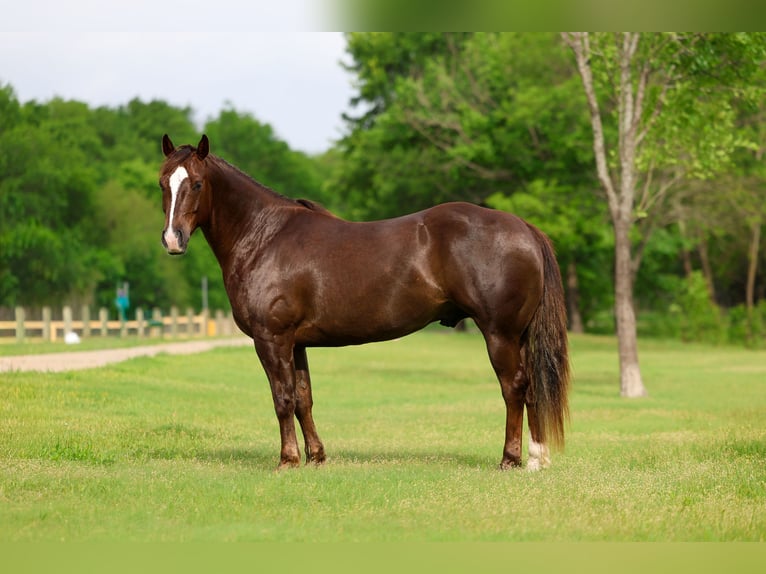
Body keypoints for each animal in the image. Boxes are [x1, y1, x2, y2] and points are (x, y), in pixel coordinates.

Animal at [159, 134, 570, 471]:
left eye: (197, 183)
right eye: (163, 183)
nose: (173, 240)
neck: (264, 237)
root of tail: (523, 227)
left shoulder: (271, 339)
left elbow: (282, 398)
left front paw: (288, 460)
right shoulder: (296, 343)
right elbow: (304, 398)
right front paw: (316, 457)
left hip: (500, 334)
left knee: (514, 387)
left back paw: (510, 459)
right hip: (518, 335)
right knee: (532, 387)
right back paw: (537, 459)